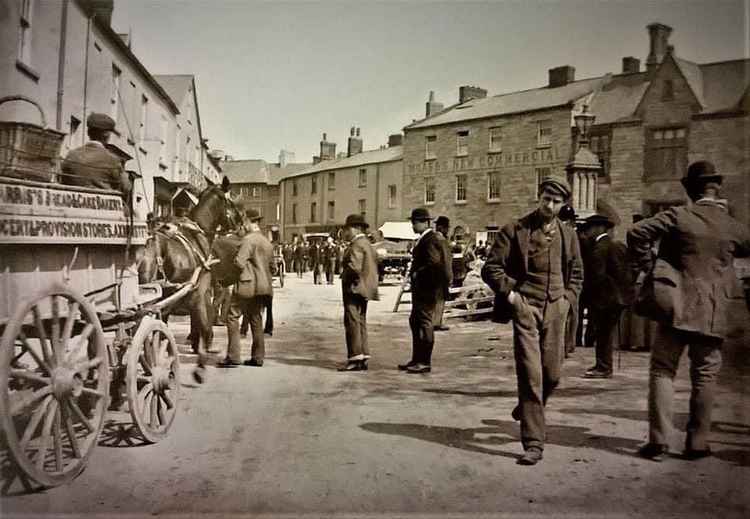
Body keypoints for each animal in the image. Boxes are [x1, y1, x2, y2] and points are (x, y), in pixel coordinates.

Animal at [137, 179, 239, 382]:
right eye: (230, 202)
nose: (240, 221)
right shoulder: (199, 295)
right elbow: (204, 326)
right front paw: (200, 367)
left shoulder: (168, 304)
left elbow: (161, 335)